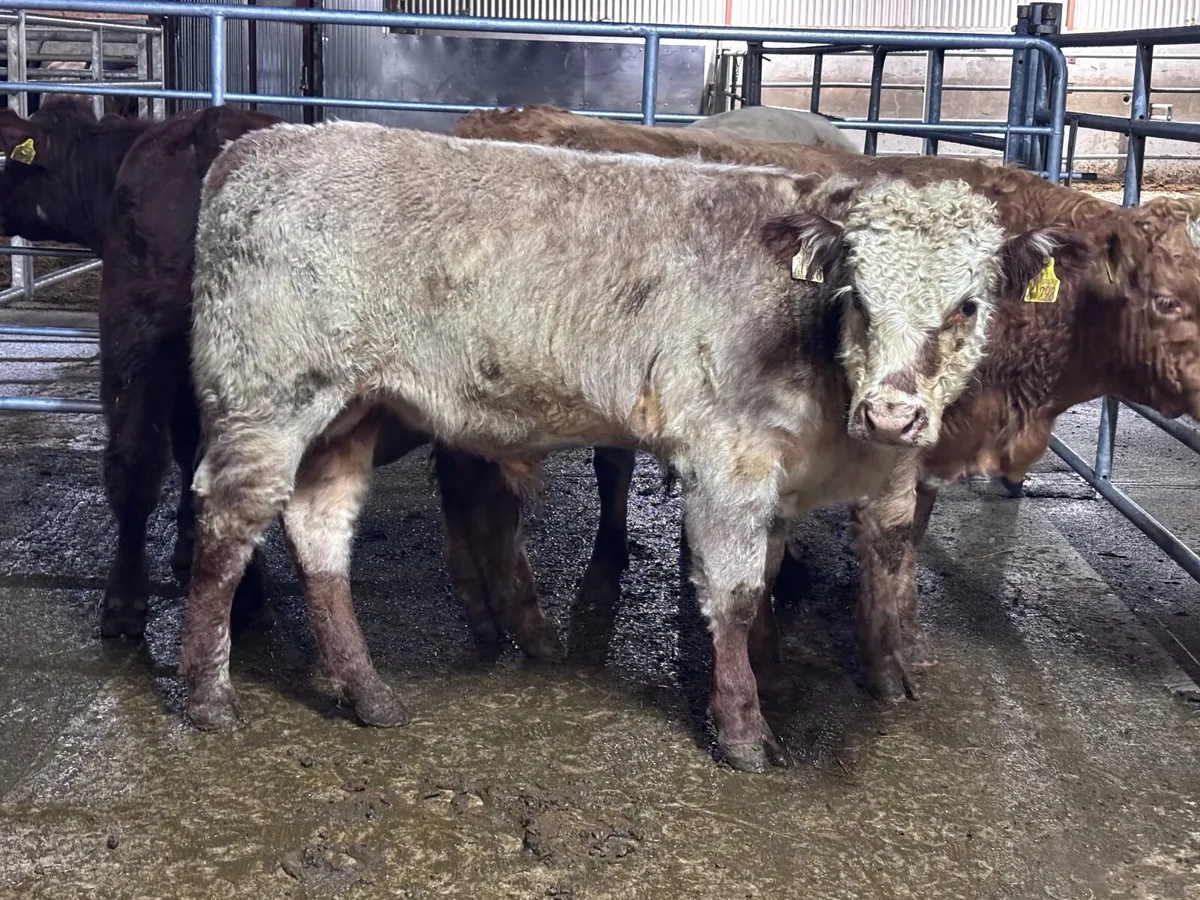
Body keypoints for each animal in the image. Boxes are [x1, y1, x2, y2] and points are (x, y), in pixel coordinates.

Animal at [180, 120, 1084, 774]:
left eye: (968, 305)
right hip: (265, 399)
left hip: (352, 412)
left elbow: (777, 575)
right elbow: (736, 594)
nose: (893, 414)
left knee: (318, 531)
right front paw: (743, 727)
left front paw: (777, 673)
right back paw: (208, 697)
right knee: (224, 530)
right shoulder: (729, 460)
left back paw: (365, 690)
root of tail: (260, 144)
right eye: (856, 294)